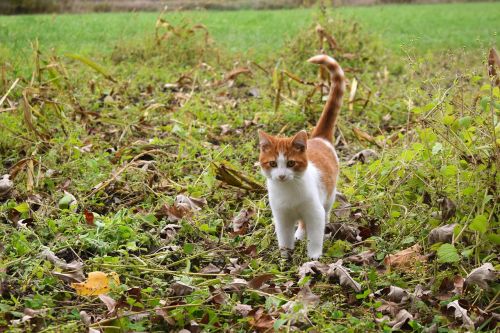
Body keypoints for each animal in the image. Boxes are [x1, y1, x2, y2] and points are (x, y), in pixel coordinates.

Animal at [258, 53, 344, 258]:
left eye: (290, 163)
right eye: (273, 163)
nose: (281, 176)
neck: (288, 191)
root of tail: (319, 138)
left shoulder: (315, 212)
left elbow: (315, 236)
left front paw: (313, 257)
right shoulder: (281, 217)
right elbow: (284, 238)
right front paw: (285, 257)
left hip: (328, 197)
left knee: (324, 214)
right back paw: (298, 235)